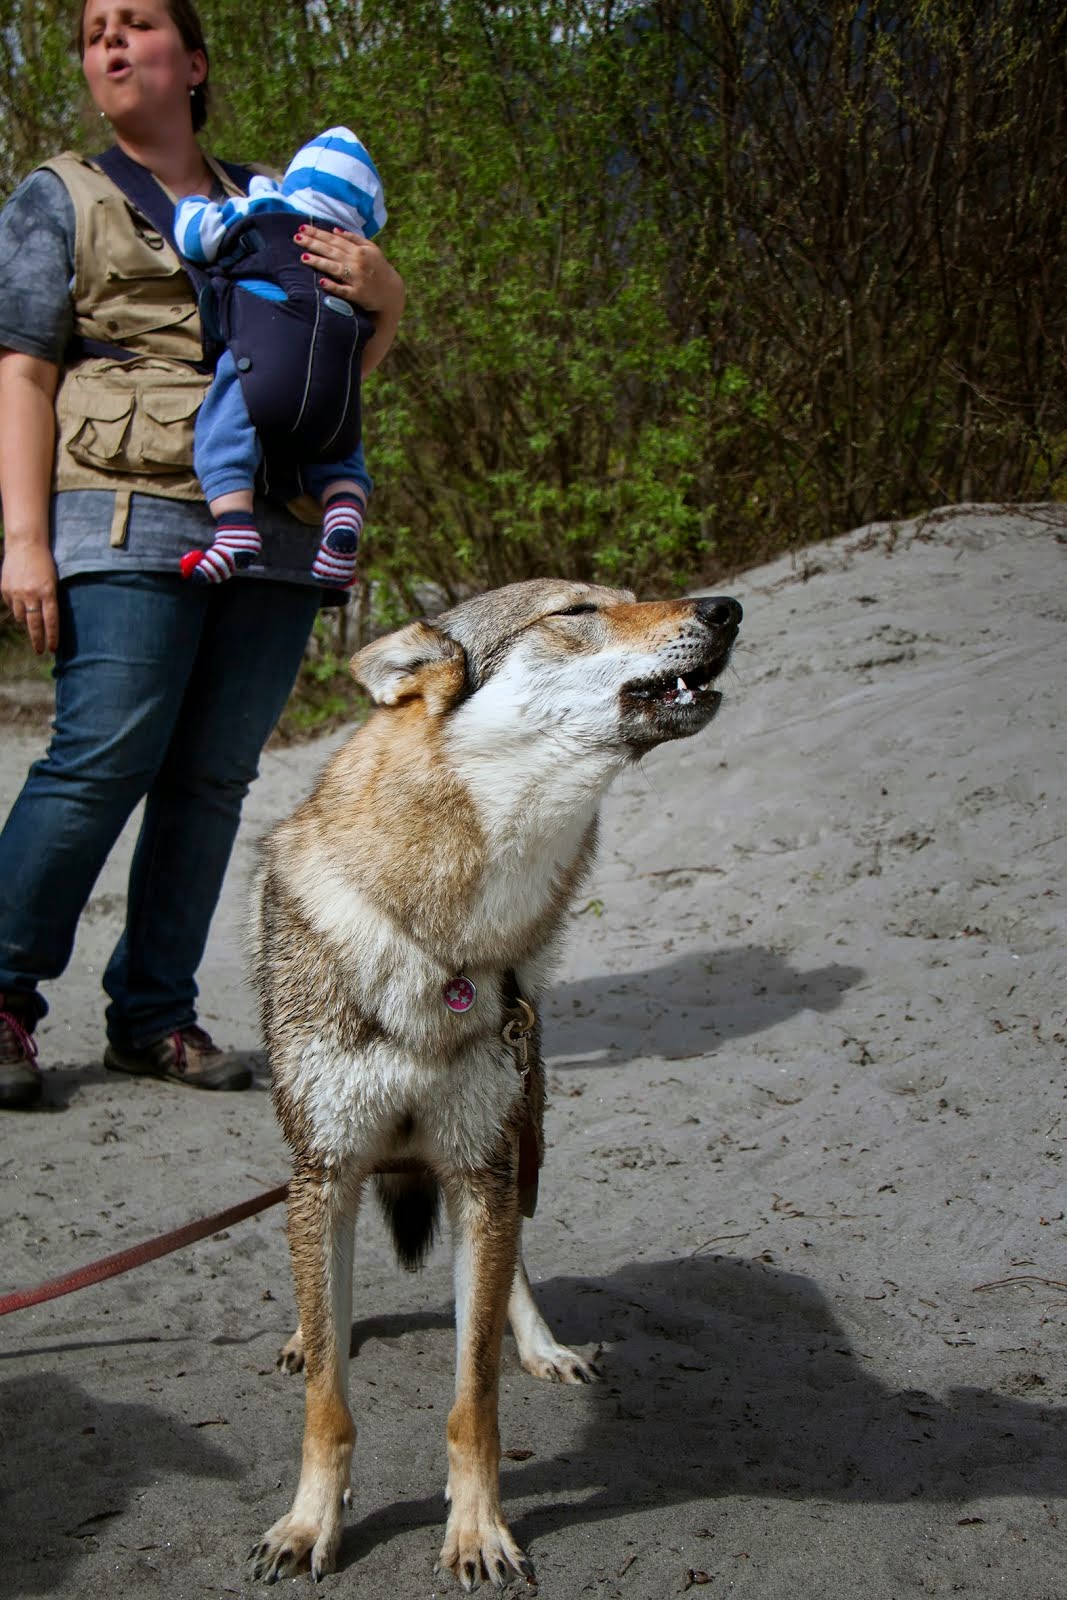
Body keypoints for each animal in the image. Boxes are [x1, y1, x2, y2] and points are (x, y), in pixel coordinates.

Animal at [247, 579, 742, 1587]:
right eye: (577, 610)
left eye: (632, 595)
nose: (726, 608)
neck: (448, 945)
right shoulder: (324, 1168)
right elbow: (328, 1399)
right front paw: (310, 1524)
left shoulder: (480, 1169)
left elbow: (472, 1396)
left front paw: (477, 1531)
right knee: (324, 1307)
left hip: (520, 1136)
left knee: (509, 1265)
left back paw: (543, 1346)